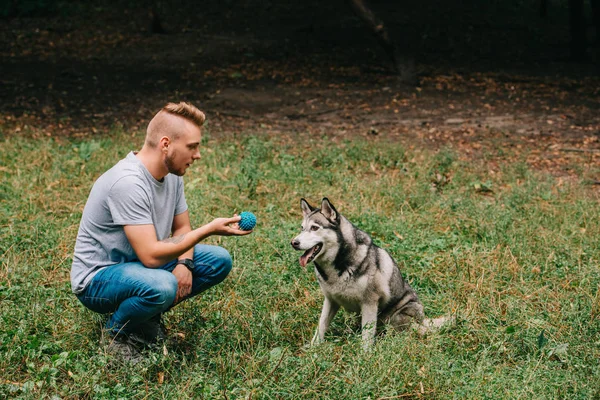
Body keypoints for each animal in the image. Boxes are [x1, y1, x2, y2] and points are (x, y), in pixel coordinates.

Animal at [290, 198, 446, 346]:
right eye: (302, 228)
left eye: (314, 228)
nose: (293, 243)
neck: (339, 264)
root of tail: (424, 322)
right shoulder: (330, 300)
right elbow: (321, 326)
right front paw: (313, 347)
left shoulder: (370, 302)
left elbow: (367, 336)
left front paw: (365, 354)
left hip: (397, 316)